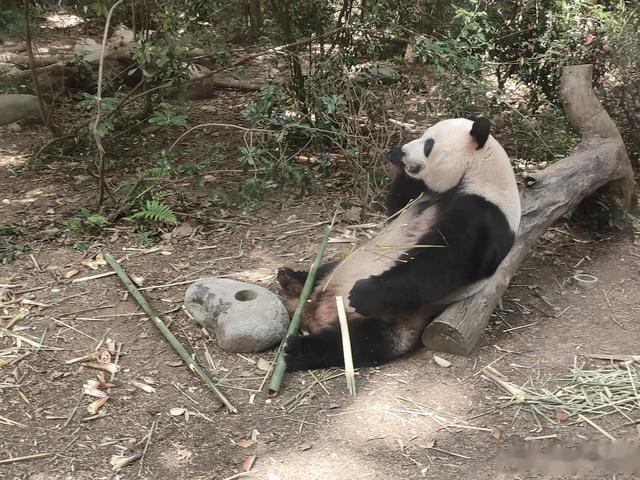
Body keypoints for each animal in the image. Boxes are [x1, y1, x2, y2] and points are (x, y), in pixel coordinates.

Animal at [277, 117, 521, 371]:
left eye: (428, 145)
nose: (401, 152)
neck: (478, 172)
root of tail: (314, 312)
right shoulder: (422, 195)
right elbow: (395, 209)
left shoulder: (486, 213)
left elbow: (444, 263)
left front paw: (363, 293)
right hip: (339, 271)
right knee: (325, 269)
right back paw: (292, 278)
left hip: (394, 320)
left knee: (359, 343)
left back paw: (297, 349)